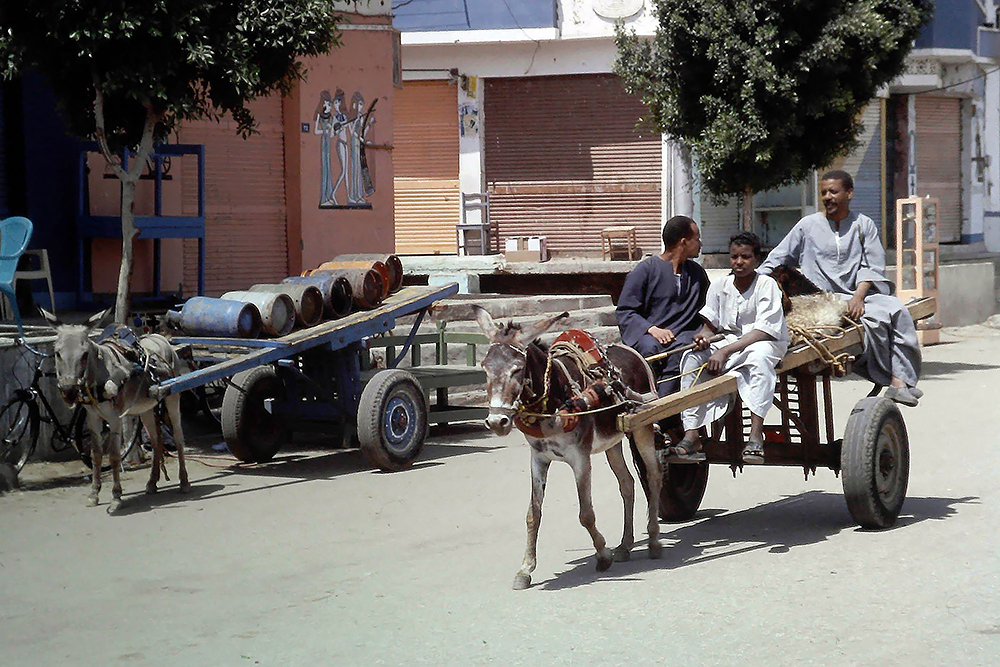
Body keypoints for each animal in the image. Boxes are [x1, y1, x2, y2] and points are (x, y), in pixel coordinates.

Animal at [41, 309, 190, 511]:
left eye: (84, 355)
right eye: (57, 353)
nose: (68, 391)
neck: (98, 376)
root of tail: (160, 337)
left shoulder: (115, 418)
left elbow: (113, 456)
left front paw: (116, 496)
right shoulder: (93, 418)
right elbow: (96, 455)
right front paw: (94, 494)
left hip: (172, 398)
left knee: (178, 437)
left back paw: (184, 482)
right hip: (146, 408)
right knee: (155, 440)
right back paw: (152, 482)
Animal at [472, 306, 662, 590]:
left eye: (517, 369)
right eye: (485, 368)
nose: (497, 422)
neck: (554, 401)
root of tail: (628, 350)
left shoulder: (580, 458)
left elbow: (586, 514)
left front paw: (602, 555)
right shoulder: (538, 458)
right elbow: (533, 514)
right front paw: (525, 569)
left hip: (642, 427)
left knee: (653, 475)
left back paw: (653, 540)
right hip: (613, 440)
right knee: (627, 484)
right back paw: (625, 546)